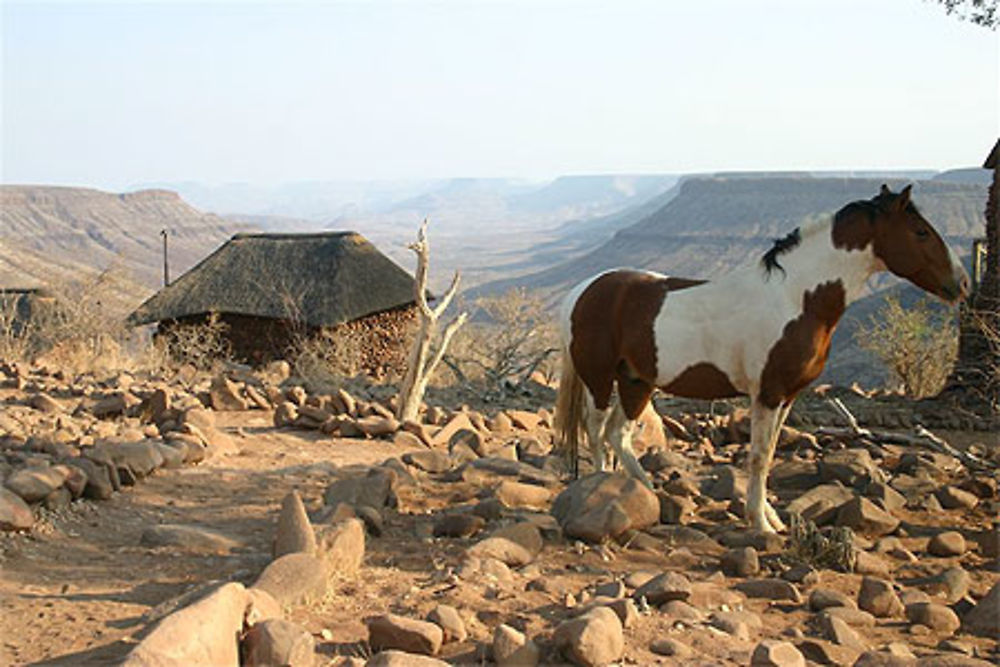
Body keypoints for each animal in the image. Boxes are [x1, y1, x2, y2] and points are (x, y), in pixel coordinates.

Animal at [556, 185, 968, 536]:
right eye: (921, 232)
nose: (961, 284)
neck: (796, 297)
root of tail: (582, 291)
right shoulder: (767, 394)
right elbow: (757, 457)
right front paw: (759, 523)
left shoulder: (787, 397)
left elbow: (768, 455)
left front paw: (771, 517)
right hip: (600, 380)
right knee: (596, 430)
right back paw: (602, 485)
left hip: (636, 381)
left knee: (617, 433)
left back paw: (644, 491)